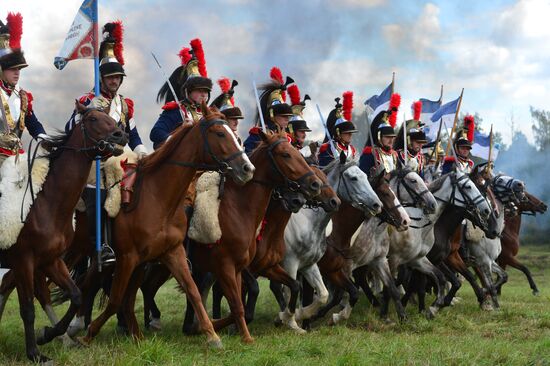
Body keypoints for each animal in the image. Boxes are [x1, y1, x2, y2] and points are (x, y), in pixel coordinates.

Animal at [0, 103, 125, 364]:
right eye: (93, 118)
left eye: (112, 118)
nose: (121, 135)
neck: (47, 202)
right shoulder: (24, 260)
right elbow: (27, 309)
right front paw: (34, 353)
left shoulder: (50, 261)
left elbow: (76, 295)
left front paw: (48, 334)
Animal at [77, 104, 256, 348]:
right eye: (220, 133)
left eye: (236, 136)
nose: (247, 169)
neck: (159, 198)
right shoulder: (127, 257)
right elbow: (114, 300)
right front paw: (89, 334)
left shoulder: (172, 252)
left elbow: (193, 291)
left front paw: (212, 336)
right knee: (85, 287)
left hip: (139, 266)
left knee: (123, 296)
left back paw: (136, 334)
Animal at [179, 129, 322, 344]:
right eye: (285, 154)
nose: (314, 184)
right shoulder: (231, 266)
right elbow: (248, 295)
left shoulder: (266, 266)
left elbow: (295, 285)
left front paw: (287, 316)